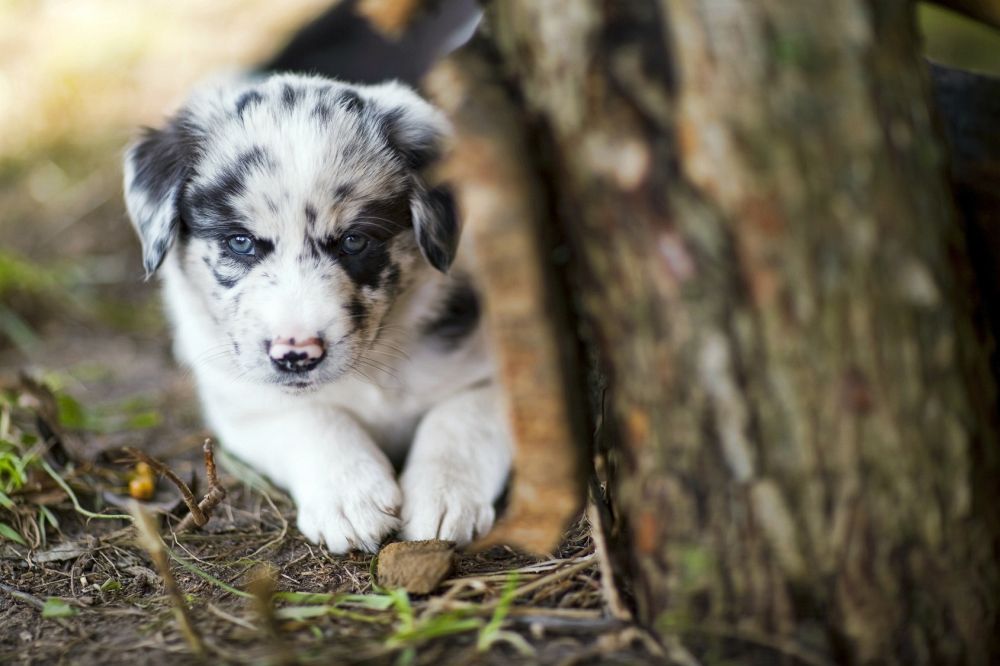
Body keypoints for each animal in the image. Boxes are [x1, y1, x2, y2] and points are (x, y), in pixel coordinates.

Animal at [125, 74, 512, 548]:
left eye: (354, 240)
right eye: (240, 242)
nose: (296, 355)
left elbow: (461, 417)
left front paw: (444, 496)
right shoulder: (239, 398)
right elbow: (311, 416)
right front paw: (350, 495)